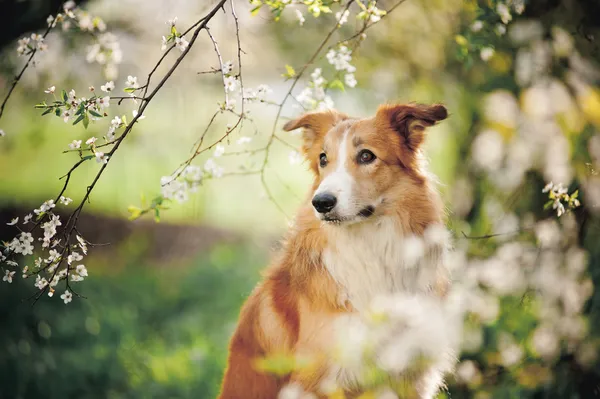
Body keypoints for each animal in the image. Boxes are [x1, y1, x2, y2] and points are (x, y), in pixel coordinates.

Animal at [218, 103, 452, 399]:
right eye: (323, 158)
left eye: (366, 156)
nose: (321, 202)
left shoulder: (411, 378)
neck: (368, 247)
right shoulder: (317, 381)